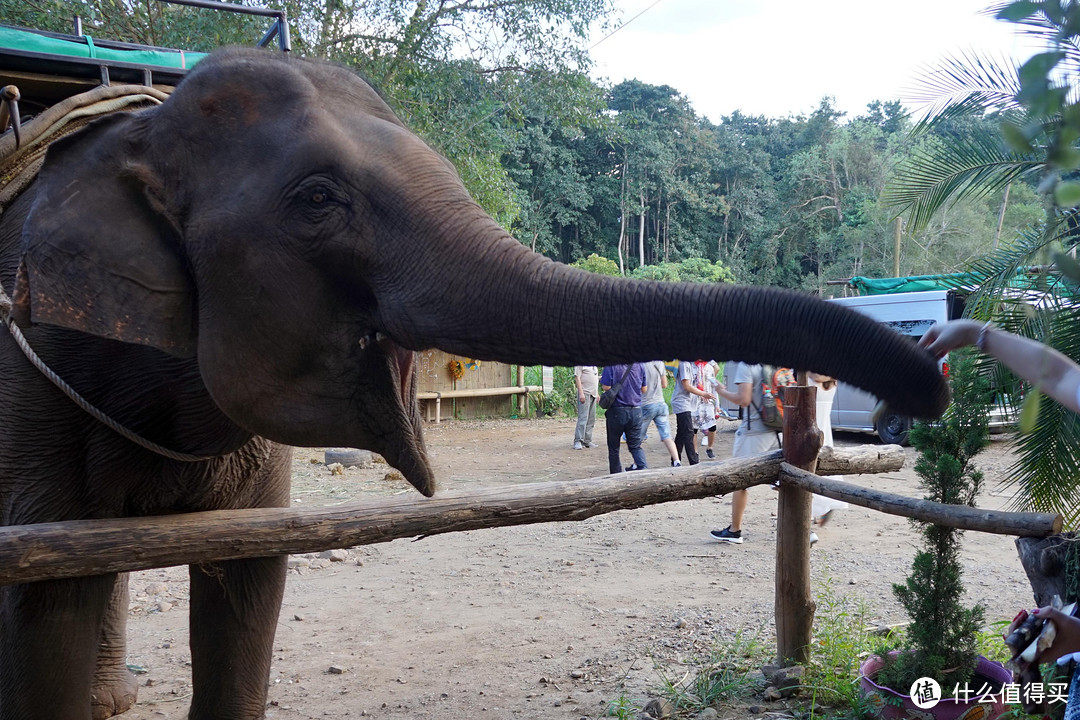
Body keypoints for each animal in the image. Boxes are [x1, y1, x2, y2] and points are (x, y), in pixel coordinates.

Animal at [0, 47, 946, 716]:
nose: (930, 385)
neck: (136, 133)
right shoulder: (24, 382)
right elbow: (45, 604)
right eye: (316, 200)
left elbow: (248, 584)